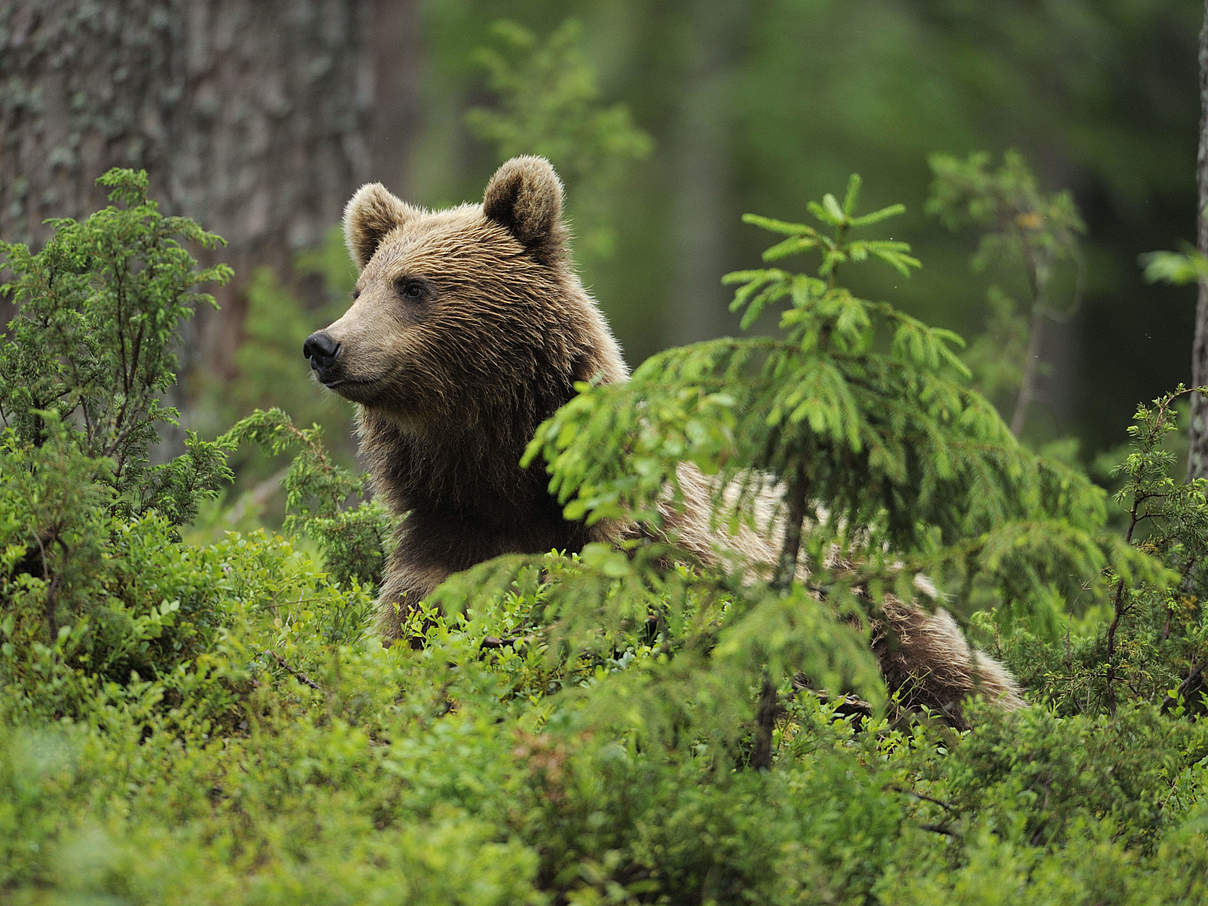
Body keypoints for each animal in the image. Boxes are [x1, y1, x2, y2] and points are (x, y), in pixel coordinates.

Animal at [306, 158, 1024, 724]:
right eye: (361, 287)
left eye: (414, 287)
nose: (324, 345)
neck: (505, 476)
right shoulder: (444, 549)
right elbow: (416, 642)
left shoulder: (658, 554)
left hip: (874, 603)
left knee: (954, 677)